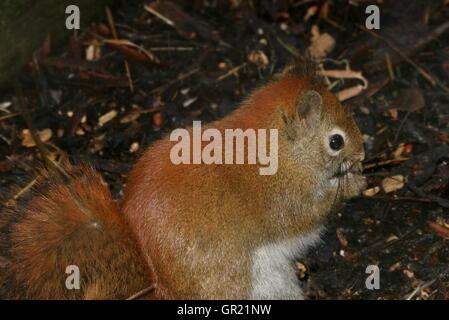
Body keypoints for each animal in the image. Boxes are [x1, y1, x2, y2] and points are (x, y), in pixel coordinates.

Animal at [0, 63, 364, 300]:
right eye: (336, 141)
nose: (362, 153)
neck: (278, 152)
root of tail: (160, 286)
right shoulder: (283, 199)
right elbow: (308, 216)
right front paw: (352, 184)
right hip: (254, 283)